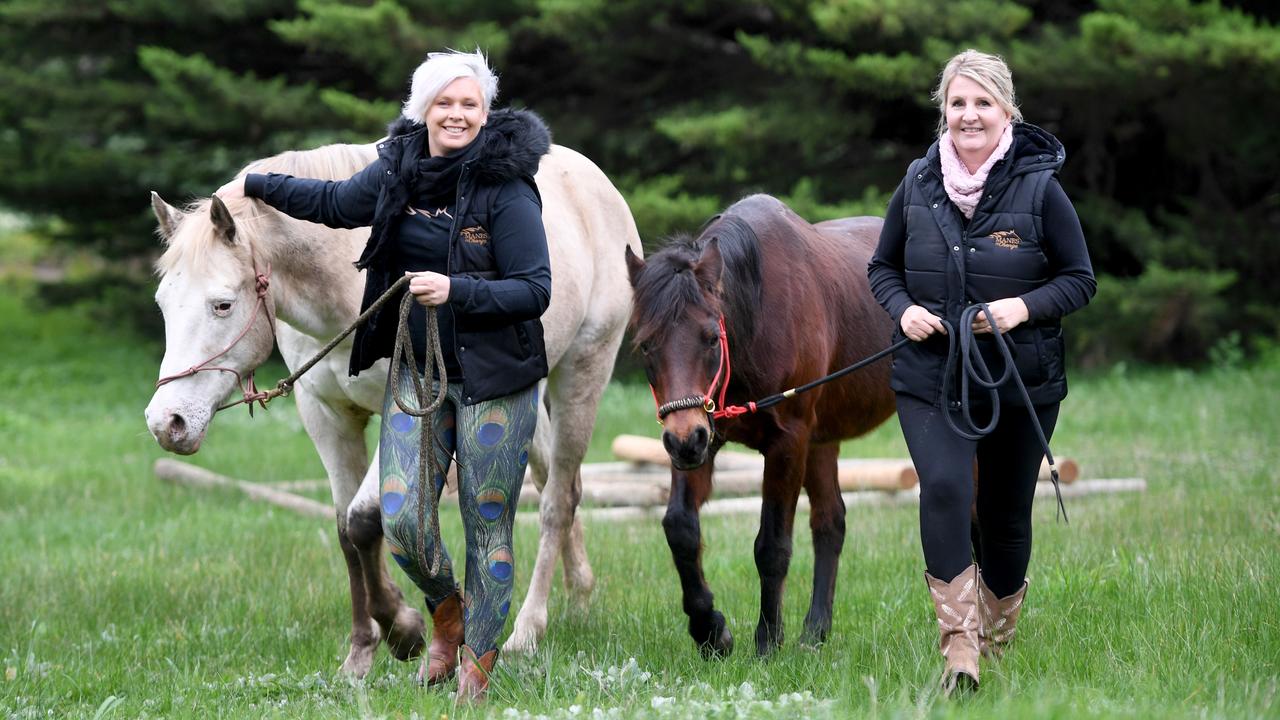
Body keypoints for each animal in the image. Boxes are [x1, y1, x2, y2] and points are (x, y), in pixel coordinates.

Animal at [145, 141, 640, 671]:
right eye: (163, 303)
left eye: (222, 305)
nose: (166, 423)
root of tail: (599, 186)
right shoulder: (325, 415)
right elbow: (345, 530)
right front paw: (361, 652)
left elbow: (366, 520)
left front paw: (403, 631)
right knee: (561, 488)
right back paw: (580, 598)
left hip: (583, 375)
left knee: (554, 503)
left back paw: (528, 630)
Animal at [624, 192, 896, 655]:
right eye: (646, 345)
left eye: (710, 337)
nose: (683, 441)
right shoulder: (706, 435)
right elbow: (680, 528)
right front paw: (710, 630)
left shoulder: (787, 442)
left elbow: (772, 546)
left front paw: (768, 641)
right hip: (821, 442)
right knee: (830, 522)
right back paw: (814, 633)